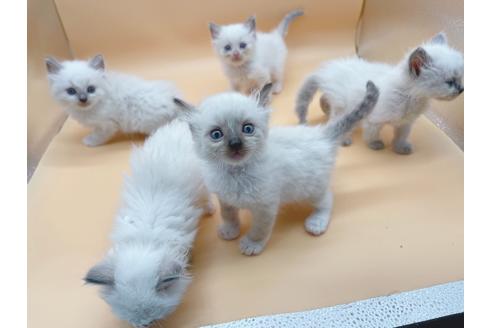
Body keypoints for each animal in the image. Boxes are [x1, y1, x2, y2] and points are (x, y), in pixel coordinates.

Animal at [44, 54, 181, 146]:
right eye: (71, 91)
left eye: (91, 89)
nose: (83, 99)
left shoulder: (106, 125)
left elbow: (98, 136)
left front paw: (89, 142)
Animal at [85, 121, 215, 328]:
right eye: (133, 322)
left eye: (150, 321)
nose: (141, 326)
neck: (144, 240)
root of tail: (181, 123)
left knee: (207, 196)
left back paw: (209, 209)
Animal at [174, 80, 380, 255]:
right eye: (216, 134)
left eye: (247, 129)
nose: (235, 144)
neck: (236, 173)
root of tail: (321, 134)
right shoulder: (225, 199)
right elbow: (229, 216)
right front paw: (230, 231)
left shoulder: (266, 205)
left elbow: (260, 229)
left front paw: (252, 244)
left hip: (311, 187)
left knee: (327, 200)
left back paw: (317, 222)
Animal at [296, 31, 466, 154]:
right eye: (449, 81)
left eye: (460, 78)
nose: (461, 89)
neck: (410, 97)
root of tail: (327, 68)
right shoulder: (374, 120)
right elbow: (371, 134)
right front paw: (375, 145)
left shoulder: (406, 123)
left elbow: (401, 136)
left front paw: (400, 148)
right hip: (342, 105)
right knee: (336, 119)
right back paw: (344, 139)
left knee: (325, 104)